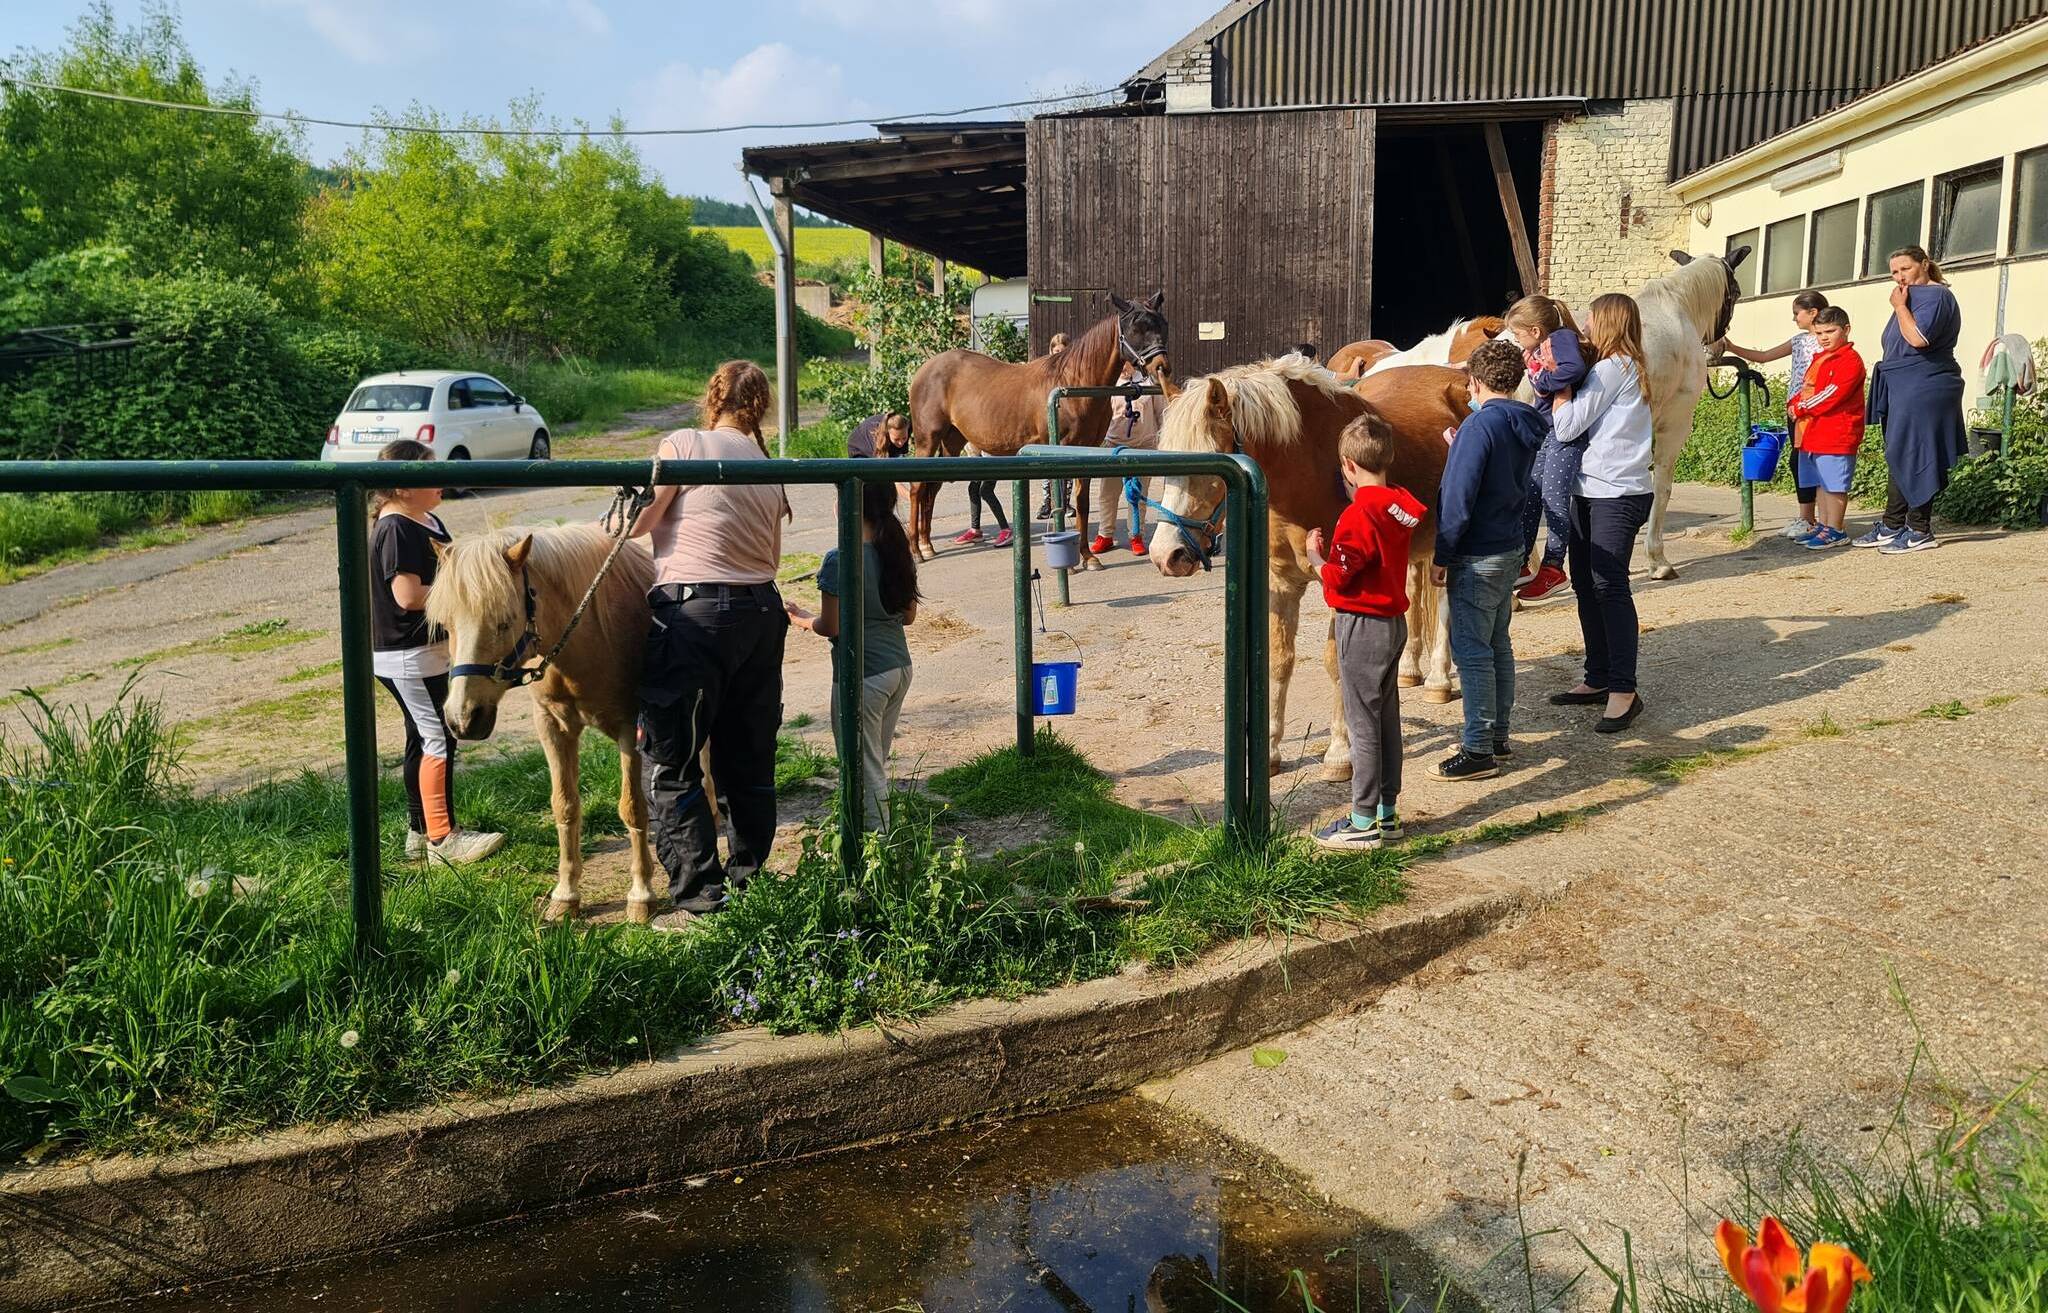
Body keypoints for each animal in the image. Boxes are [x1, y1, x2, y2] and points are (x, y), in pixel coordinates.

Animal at [428, 522, 659, 921]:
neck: (590, 635)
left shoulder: (631, 728)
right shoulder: (552, 727)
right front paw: (566, 895)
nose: (463, 718)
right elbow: (565, 806)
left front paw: (641, 894)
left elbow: (632, 807)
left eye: (505, 621)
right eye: (445, 625)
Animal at [909, 290, 1171, 565]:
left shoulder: (1086, 449)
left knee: (931, 488)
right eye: (1136, 328)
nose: (1161, 367)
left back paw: (927, 544)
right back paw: (916, 550)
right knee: (917, 489)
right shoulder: (1059, 448)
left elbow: (1082, 502)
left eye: (1162, 324)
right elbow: (1059, 499)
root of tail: (925, 369)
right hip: (927, 441)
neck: (1073, 383)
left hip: (951, 442)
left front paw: (1087, 556)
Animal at [1146, 352, 1466, 774]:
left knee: (1445, 605)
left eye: (1210, 472)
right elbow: (1279, 661)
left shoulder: (1343, 590)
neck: (1311, 466)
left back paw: (1439, 680)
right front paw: (1269, 752)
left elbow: (1337, 663)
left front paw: (1340, 753)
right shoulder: (1282, 583)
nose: (1167, 556)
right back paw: (1411, 671)